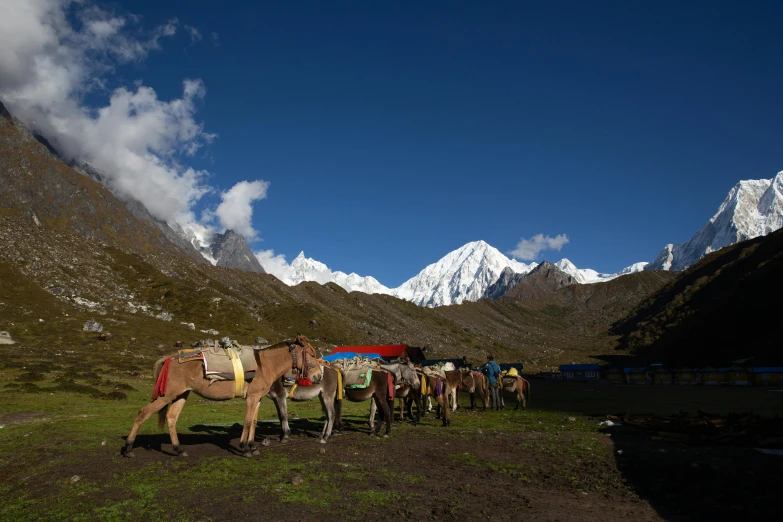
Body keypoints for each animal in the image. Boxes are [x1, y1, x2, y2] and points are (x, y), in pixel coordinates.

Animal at [124, 334, 320, 456]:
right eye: (311, 355)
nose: (318, 376)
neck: (264, 365)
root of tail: (168, 358)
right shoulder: (252, 397)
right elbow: (247, 421)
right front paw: (244, 448)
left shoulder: (257, 399)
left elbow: (254, 422)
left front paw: (252, 447)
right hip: (166, 395)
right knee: (142, 413)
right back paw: (128, 448)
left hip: (181, 394)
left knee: (171, 418)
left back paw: (179, 449)